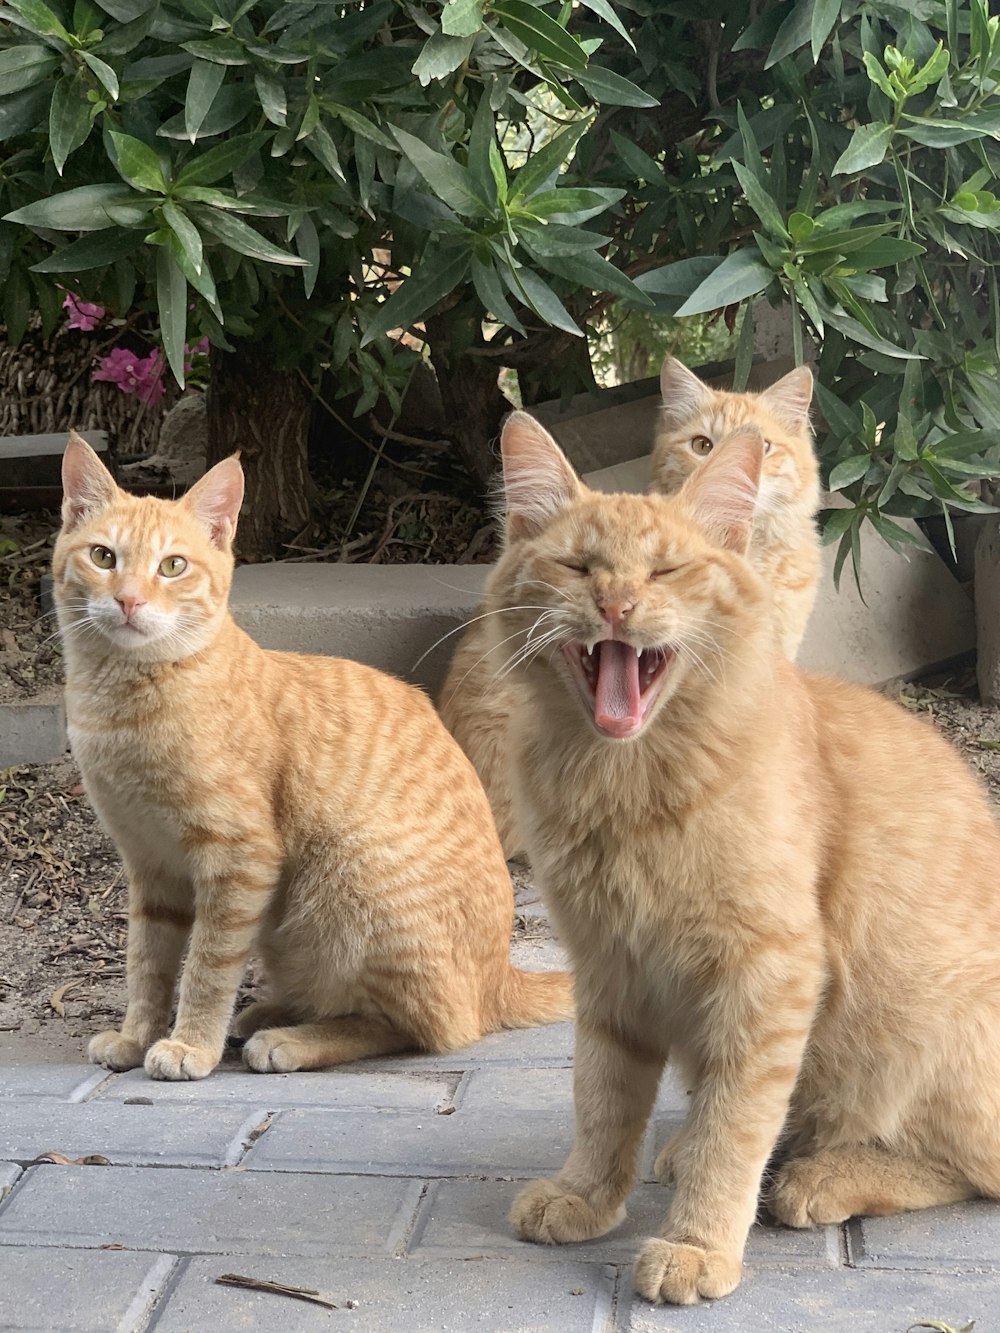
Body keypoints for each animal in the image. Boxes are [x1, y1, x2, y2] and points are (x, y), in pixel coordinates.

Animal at [53, 437, 570, 1082]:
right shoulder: (150, 868)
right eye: (103, 556)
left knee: (418, 1027)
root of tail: (501, 977)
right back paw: (271, 1012)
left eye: (172, 566)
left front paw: (191, 1044)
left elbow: (207, 968)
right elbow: (147, 966)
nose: (128, 600)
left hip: (348, 882)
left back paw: (288, 1040)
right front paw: (135, 1035)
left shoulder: (239, 859)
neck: (123, 703)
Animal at [496, 413, 1000, 1301]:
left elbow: (737, 1121)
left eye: (667, 568)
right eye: (577, 565)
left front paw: (698, 1241)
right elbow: (601, 1094)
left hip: (919, 1027)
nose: (617, 602)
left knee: (969, 1166)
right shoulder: (608, 966)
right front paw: (588, 1193)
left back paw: (823, 1174)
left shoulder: (768, 969)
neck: (627, 784)